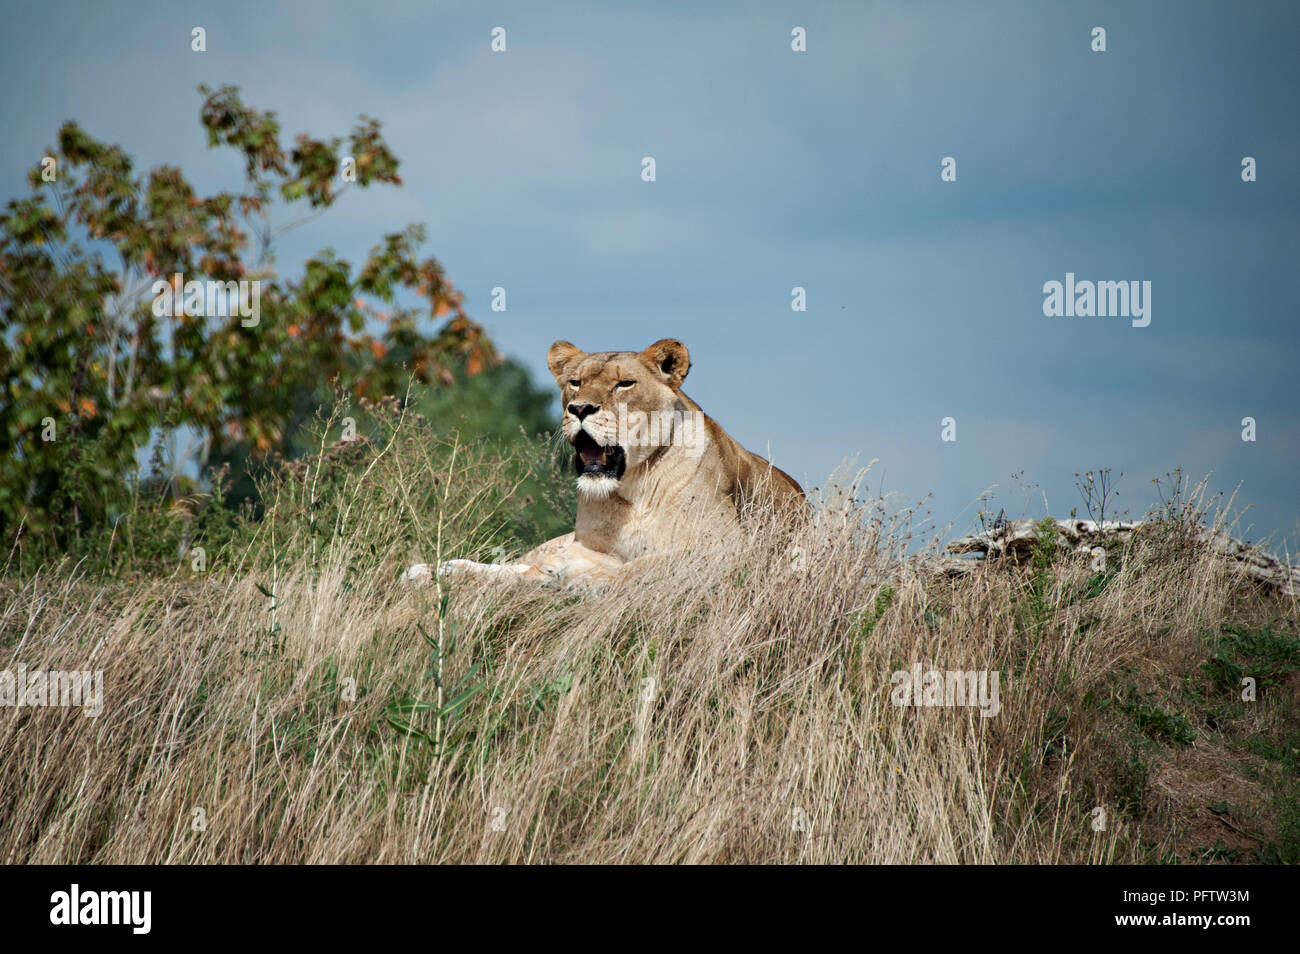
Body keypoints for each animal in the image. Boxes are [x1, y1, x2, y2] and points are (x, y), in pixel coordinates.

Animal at [404, 338, 806, 587]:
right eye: (575, 382)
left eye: (624, 384)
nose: (579, 408)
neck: (634, 488)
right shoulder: (584, 547)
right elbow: (529, 569)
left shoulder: (725, 546)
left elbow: (645, 564)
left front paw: (583, 580)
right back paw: (430, 570)